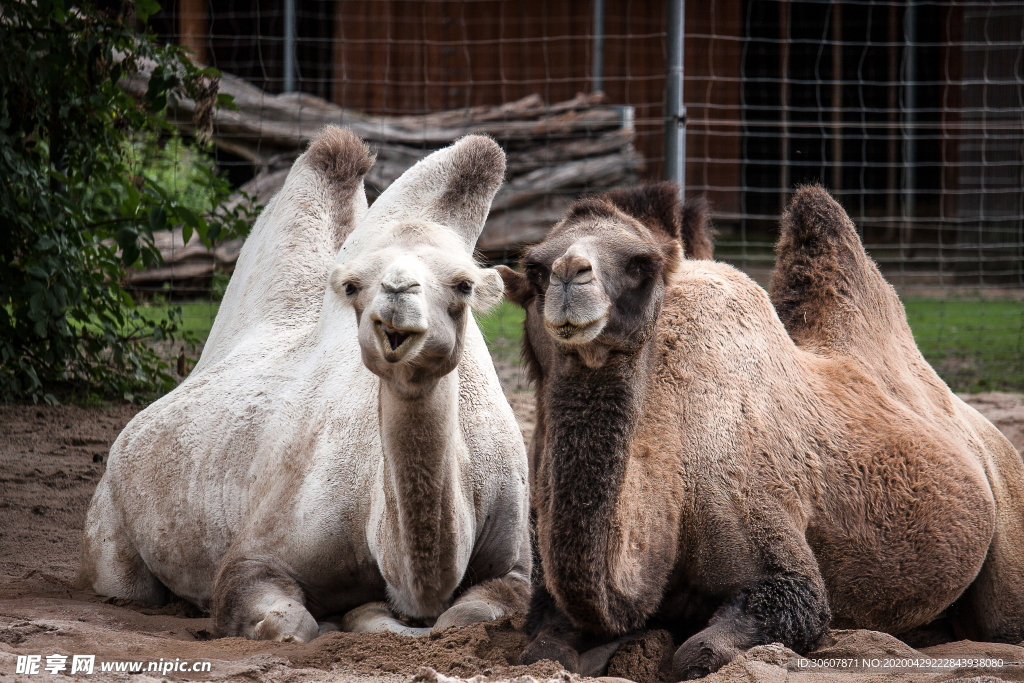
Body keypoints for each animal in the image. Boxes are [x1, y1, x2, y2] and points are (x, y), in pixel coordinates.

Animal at [75, 127, 532, 643]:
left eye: (464, 285)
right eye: (353, 285)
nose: (397, 293)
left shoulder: (514, 566)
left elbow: (467, 615)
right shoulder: (257, 555)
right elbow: (289, 622)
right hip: (111, 524)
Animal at [495, 184, 1024, 679]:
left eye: (641, 264)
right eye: (535, 268)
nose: (570, 273)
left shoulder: (761, 526)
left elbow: (713, 646)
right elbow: (541, 649)